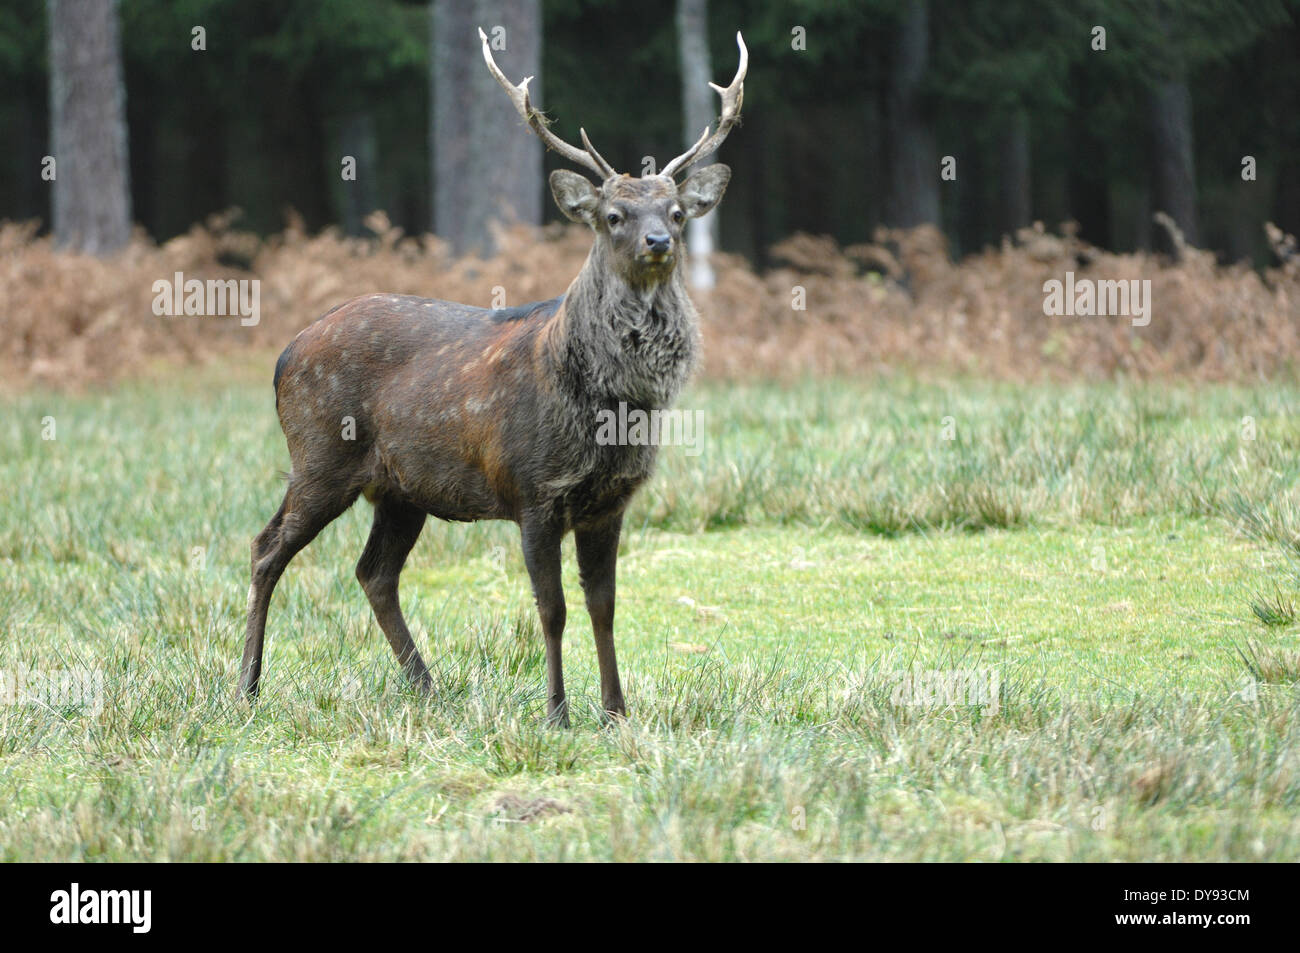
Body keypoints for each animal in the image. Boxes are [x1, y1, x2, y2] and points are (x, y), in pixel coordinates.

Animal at [239, 29, 748, 728]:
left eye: (675, 211)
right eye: (613, 214)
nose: (657, 242)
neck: (611, 406)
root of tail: (283, 356)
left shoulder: (610, 501)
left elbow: (605, 606)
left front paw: (616, 712)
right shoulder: (534, 490)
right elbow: (552, 609)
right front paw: (557, 712)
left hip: (400, 489)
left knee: (374, 572)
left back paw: (428, 688)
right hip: (320, 457)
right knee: (267, 548)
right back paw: (246, 687)